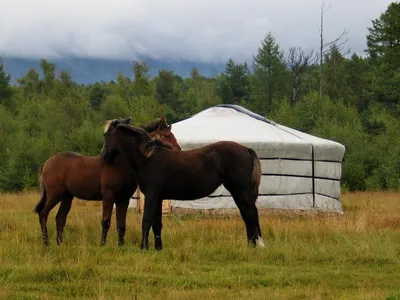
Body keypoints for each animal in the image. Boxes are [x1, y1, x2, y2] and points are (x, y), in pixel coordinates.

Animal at [33, 116, 180, 246]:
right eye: (166, 136)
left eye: (171, 135)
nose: (178, 150)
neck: (119, 164)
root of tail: (47, 163)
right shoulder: (109, 197)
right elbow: (106, 222)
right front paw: (102, 245)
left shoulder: (123, 199)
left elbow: (121, 224)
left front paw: (120, 246)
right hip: (54, 195)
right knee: (43, 213)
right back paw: (46, 243)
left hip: (67, 197)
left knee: (60, 219)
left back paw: (59, 243)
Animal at [100, 123, 264, 250]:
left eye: (107, 136)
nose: (103, 156)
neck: (147, 158)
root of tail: (246, 149)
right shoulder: (158, 198)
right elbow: (156, 223)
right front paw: (158, 248)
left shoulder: (151, 196)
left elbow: (146, 221)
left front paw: (143, 247)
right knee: (246, 214)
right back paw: (251, 245)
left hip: (240, 191)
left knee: (251, 214)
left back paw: (258, 245)